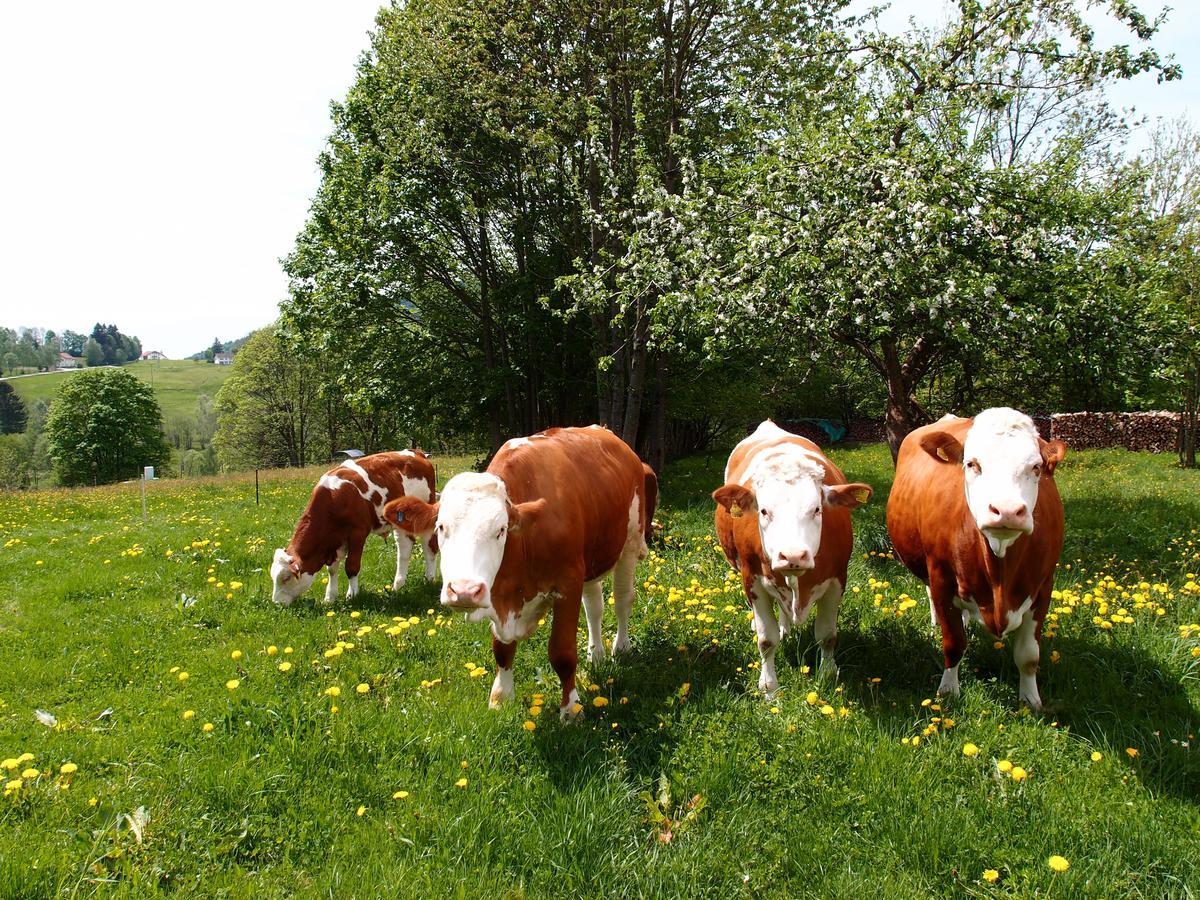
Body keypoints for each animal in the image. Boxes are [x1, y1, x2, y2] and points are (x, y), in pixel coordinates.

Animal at [270, 451, 439, 607]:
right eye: (272, 577)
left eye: (286, 578)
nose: (277, 603)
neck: (333, 497)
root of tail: (417, 453)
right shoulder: (335, 541)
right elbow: (332, 569)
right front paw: (329, 598)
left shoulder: (358, 533)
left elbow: (351, 566)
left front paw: (352, 595)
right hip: (400, 521)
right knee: (404, 548)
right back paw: (398, 585)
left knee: (429, 546)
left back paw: (429, 578)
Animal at [381, 427, 657, 724]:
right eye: (441, 527)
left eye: (500, 530)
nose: (464, 590)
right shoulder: (500, 594)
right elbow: (502, 649)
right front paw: (501, 698)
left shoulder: (568, 583)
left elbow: (562, 653)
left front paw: (571, 709)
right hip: (592, 557)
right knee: (594, 606)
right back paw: (596, 654)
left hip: (630, 542)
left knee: (622, 600)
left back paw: (621, 646)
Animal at [710, 422, 873, 696]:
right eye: (764, 511)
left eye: (817, 509)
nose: (793, 555)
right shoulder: (752, 581)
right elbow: (766, 640)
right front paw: (769, 687)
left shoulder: (837, 579)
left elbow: (827, 635)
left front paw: (827, 675)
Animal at [883, 408, 1070, 710]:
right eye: (972, 464)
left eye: (1036, 467)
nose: (1007, 511)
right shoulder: (942, 578)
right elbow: (953, 643)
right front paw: (948, 691)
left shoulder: (1043, 586)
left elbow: (1029, 655)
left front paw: (1031, 699)